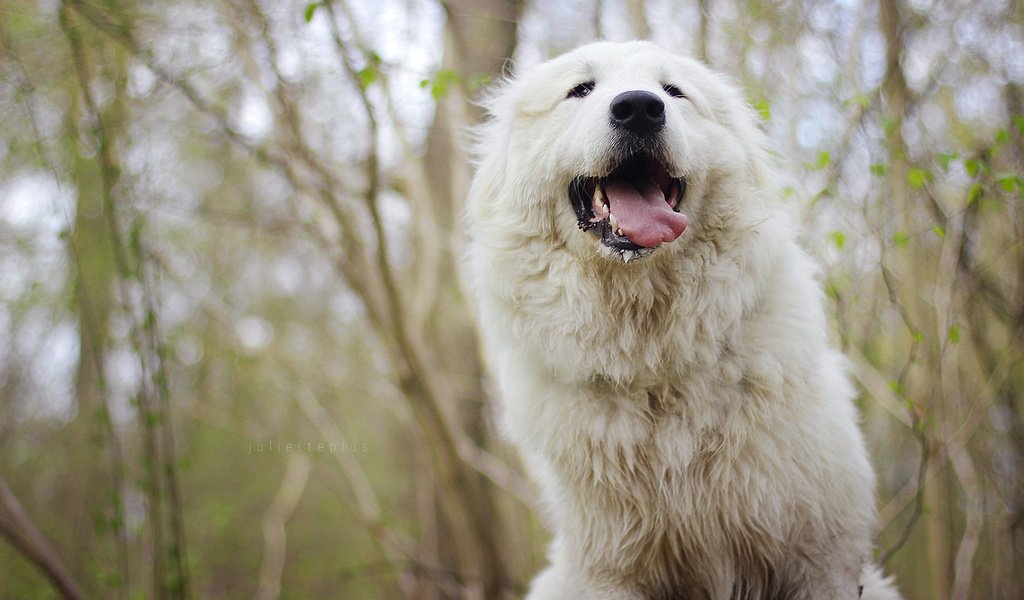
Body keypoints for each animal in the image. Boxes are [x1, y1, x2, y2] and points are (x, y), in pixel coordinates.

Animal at [464, 41, 897, 597]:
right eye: (580, 89)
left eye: (673, 91)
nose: (639, 108)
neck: (655, 362)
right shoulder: (610, 571)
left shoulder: (820, 559)